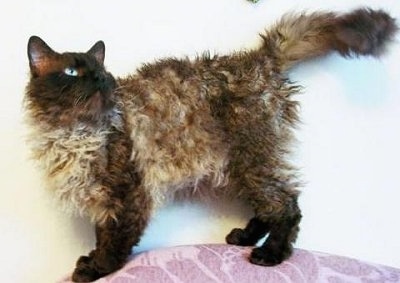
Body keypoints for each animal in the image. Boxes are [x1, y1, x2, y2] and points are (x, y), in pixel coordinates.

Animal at [25, 7, 396, 282]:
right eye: (72, 72)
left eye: (103, 71)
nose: (101, 80)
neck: (74, 133)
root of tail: (258, 61)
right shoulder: (105, 199)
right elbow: (102, 234)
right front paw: (91, 258)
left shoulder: (130, 193)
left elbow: (114, 242)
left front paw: (95, 269)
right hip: (239, 166)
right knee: (268, 206)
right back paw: (244, 237)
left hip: (253, 158)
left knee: (287, 205)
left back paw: (271, 254)